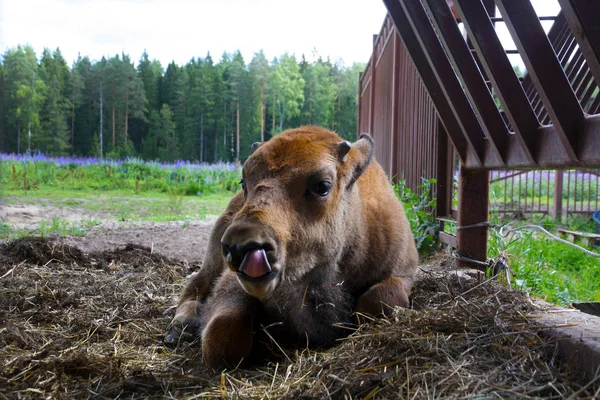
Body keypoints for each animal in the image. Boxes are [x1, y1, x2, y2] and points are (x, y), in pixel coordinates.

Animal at [164, 126, 418, 368]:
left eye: (323, 186)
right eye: (244, 182)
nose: (240, 245)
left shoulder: (404, 271)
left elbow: (376, 302)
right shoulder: (233, 281)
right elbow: (224, 336)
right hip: (212, 260)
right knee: (195, 285)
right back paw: (181, 326)